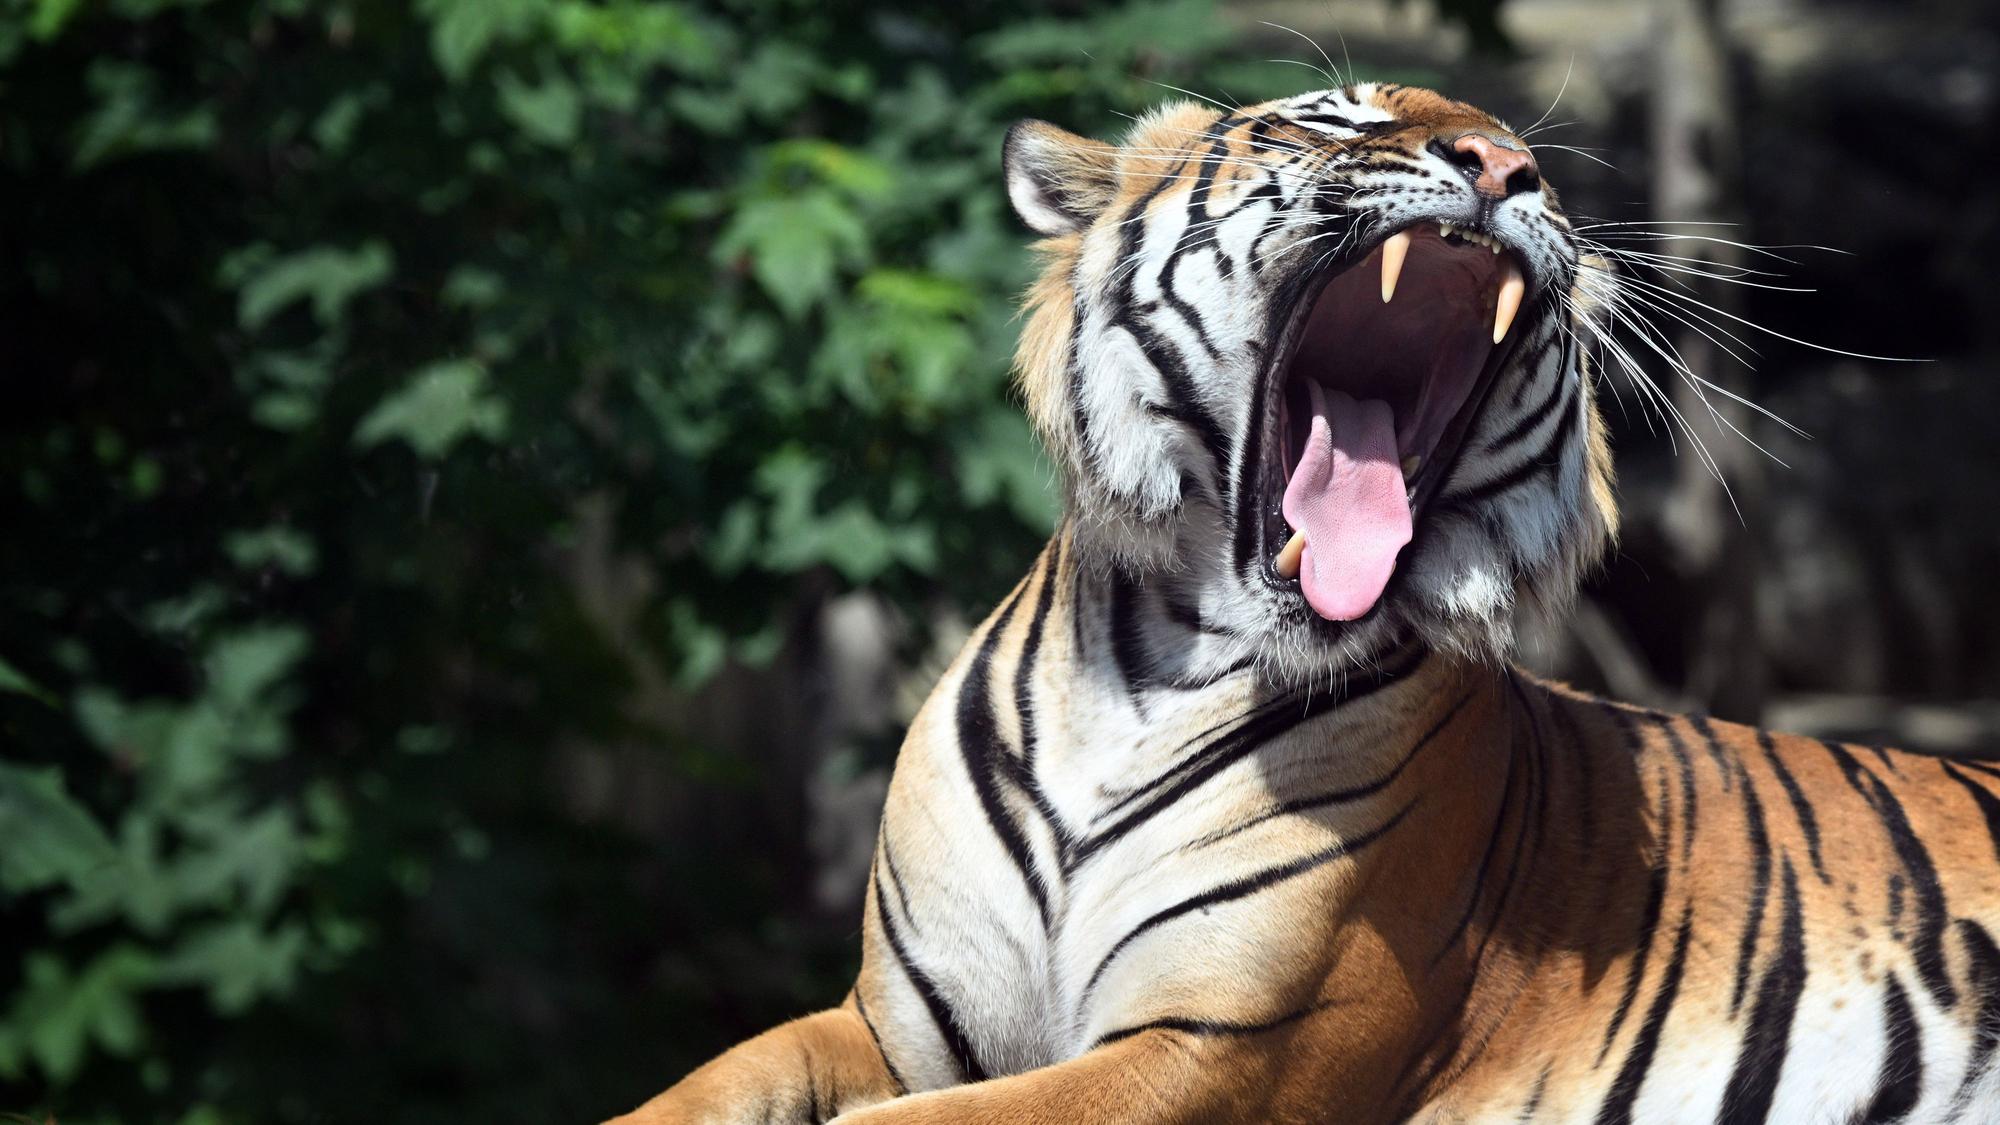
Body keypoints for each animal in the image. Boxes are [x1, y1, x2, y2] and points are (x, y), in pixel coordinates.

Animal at [610, 83, 2000, 1124]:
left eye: (1538, 167)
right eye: (1330, 120)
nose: (1505, 166)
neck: (1142, 677)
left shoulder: (1223, 1048)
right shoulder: (894, 1024)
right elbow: (713, 1080)